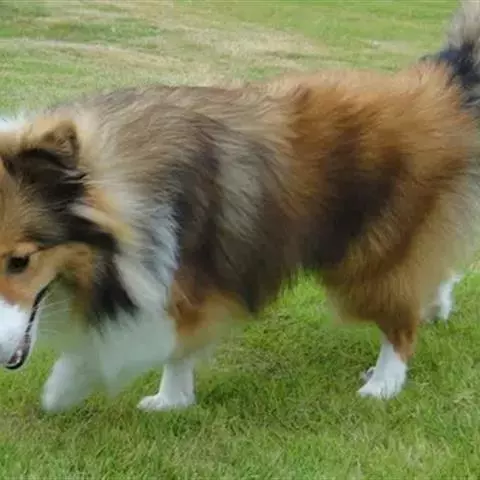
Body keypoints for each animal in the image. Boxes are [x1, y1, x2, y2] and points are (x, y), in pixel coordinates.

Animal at [0, 1, 478, 413]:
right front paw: (171, 398)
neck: (111, 178)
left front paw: (73, 389)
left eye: (20, 262)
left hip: (368, 258)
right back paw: (436, 306)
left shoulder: (182, 281)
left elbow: (143, 346)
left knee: (400, 324)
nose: (3, 359)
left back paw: (384, 383)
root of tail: (438, 84)